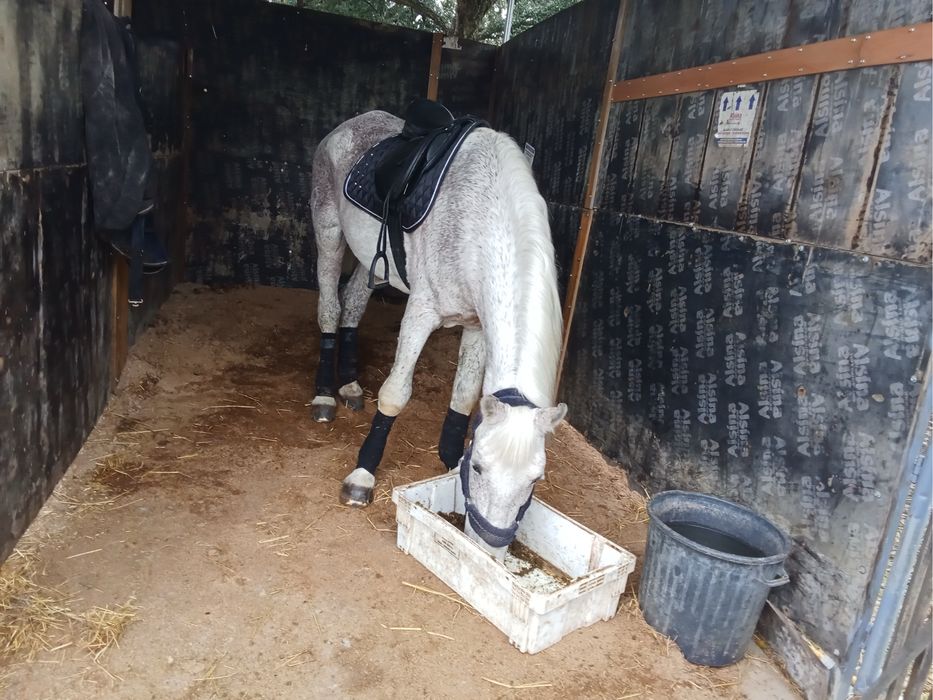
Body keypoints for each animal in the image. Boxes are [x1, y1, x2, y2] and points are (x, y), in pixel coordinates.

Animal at [309, 107, 567, 557]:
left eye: (535, 480)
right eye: (478, 467)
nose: (489, 549)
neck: (479, 218)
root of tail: (347, 126)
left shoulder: (477, 326)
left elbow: (463, 397)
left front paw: (447, 461)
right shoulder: (421, 311)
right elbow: (395, 394)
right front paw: (362, 475)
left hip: (372, 262)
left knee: (353, 304)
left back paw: (351, 385)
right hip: (329, 235)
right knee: (329, 307)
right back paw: (325, 394)